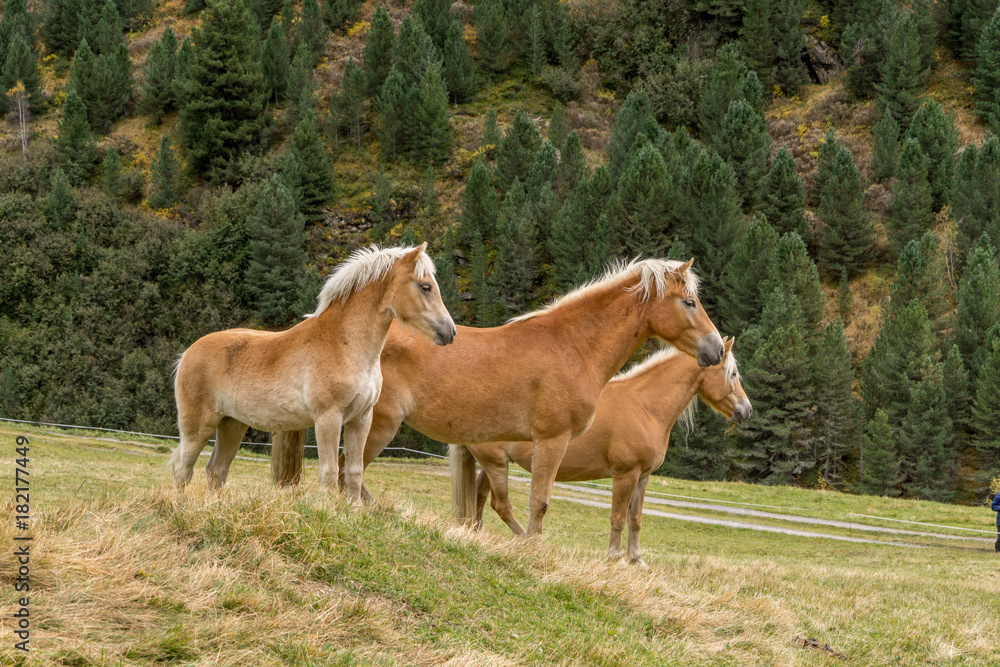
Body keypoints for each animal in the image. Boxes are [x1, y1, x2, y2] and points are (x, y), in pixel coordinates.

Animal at [167, 244, 458, 490]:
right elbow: (329, 473)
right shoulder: (328, 419)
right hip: (199, 427)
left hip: (232, 424)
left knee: (216, 470)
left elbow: (353, 473)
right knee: (183, 470)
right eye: (425, 286)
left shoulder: (361, 420)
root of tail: (187, 354)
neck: (343, 343)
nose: (450, 332)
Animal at [272, 258, 728, 536]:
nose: (715, 350)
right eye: (690, 302)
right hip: (376, 426)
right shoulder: (551, 440)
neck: (572, 345)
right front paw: (532, 550)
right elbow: (539, 502)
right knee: (348, 472)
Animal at [460, 340, 752, 564]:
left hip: (493, 464)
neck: (645, 407)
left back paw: (478, 534)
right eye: (733, 373)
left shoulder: (643, 477)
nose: (746, 410)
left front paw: (636, 559)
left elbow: (635, 518)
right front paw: (614, 558)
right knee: (501, 504)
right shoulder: (625, 475)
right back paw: (526, 541)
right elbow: (618, 517)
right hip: (496, 463)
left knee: (480, 496)